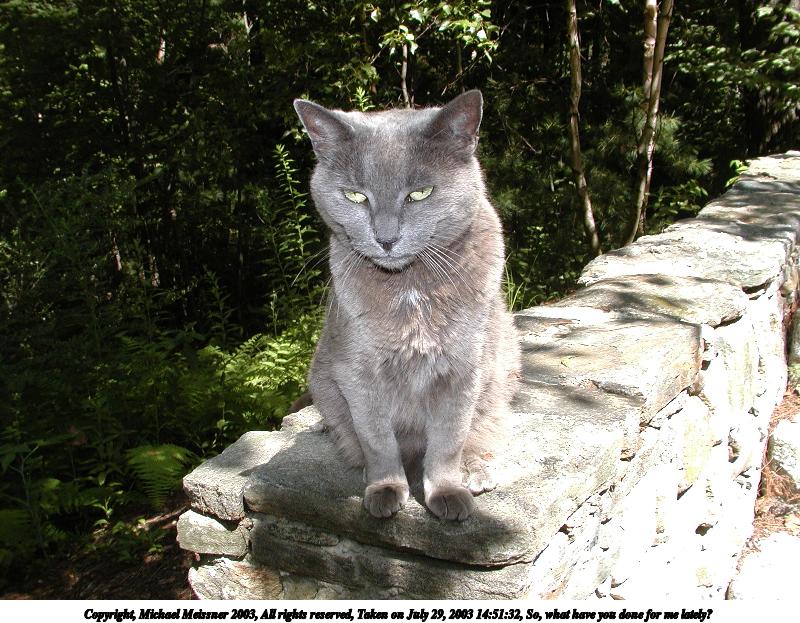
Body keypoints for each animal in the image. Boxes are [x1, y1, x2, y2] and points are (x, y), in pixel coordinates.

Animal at [293, 90, 519, 521]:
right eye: (355, 196)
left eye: (419, 194)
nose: (386, 238)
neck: (409, 288)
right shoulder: (356, 372)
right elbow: (378, 439)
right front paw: (384, 490)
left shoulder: (464, 368)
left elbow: (449, 439)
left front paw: (447, 492)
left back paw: (477, 472)